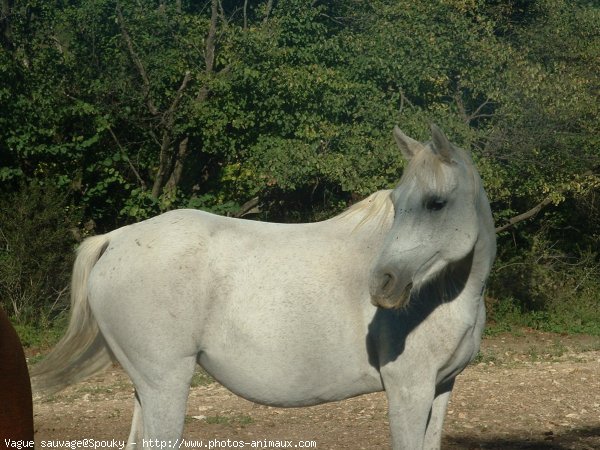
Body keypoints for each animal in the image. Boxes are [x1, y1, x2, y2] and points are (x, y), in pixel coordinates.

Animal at [29, 125, 496, 448]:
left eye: (436, 203)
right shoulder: (408, 390)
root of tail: (117, 238)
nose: (382, 283)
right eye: (398, 205)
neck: (446, 294)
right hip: (166, 385)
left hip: (146, 388)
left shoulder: (440, 388)